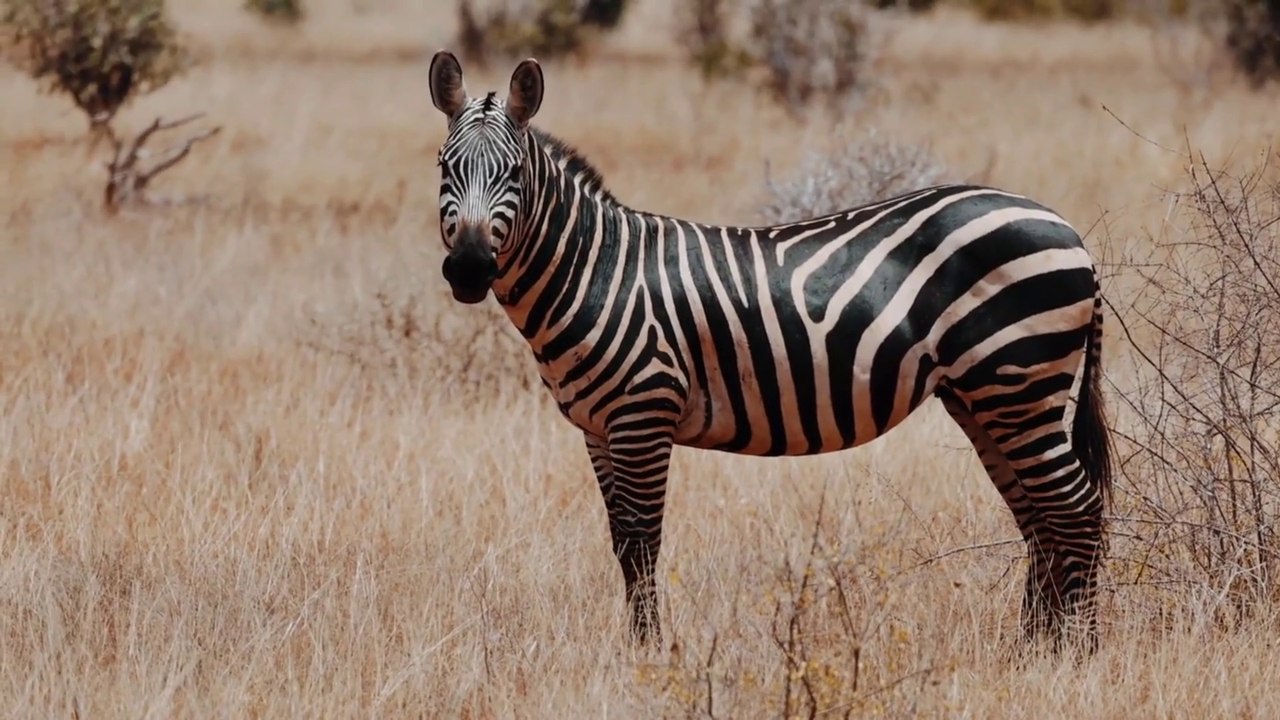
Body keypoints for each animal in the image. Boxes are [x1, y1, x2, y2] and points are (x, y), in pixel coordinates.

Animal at [427, 50, 1113, 651]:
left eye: (514, 174)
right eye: (444, 168)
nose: (468, 269)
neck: (597, 272)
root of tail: (1069, 232)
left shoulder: (643, 413)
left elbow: (644, 540)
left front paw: (649, 653)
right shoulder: (598, 428)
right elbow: (622, 543)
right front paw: (636, 646)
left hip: (1020, 380)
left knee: (1075, 508)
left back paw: (1075, 651)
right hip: (984, 396)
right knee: (1038, 515)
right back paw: (1029, 647)